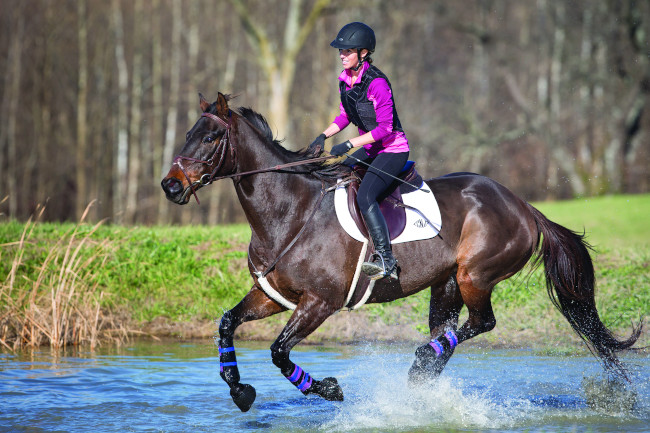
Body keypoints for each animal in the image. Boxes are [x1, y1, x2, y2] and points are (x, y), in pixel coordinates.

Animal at [161, 93, 636, 410]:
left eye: (210, 137)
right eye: (188, 134)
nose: (170, 186)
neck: (289, 212)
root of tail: (524, 206)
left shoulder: (320, 303)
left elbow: (279, 351)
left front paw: (328, 389)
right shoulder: (273, 296)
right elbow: (226, 324)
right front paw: (240, 389)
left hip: (475, 276)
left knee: (482, 322)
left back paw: (422, 362)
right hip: (445, 284)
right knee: (449, 332)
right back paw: (422, 376)